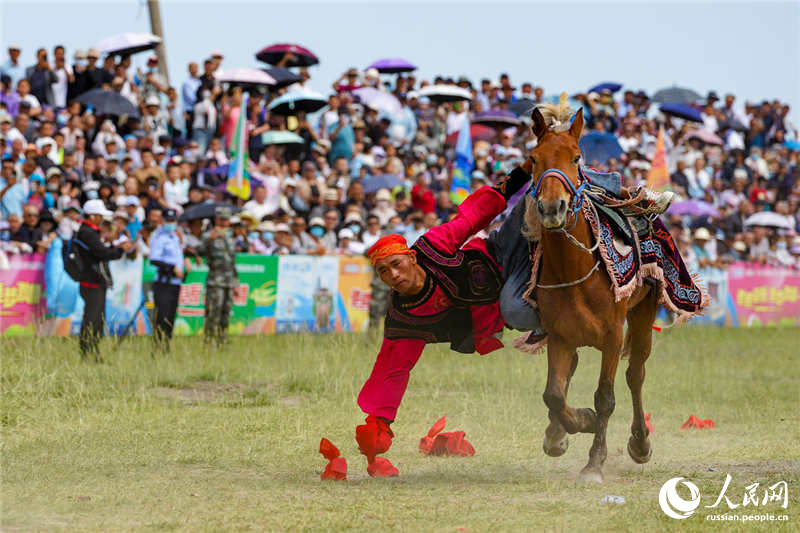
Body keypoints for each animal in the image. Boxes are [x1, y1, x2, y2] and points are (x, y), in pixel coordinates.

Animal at [524, 100, 656, 482]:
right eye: (534, 158)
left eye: (576, 157)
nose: (552, 208)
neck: (576, 270)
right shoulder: (558, 335)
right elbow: (553, 394)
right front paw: (572, 426)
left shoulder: (613, 335)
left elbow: (605, 398)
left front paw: (595, 462)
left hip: (643, 314)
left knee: (635, 374)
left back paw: (640, 442)